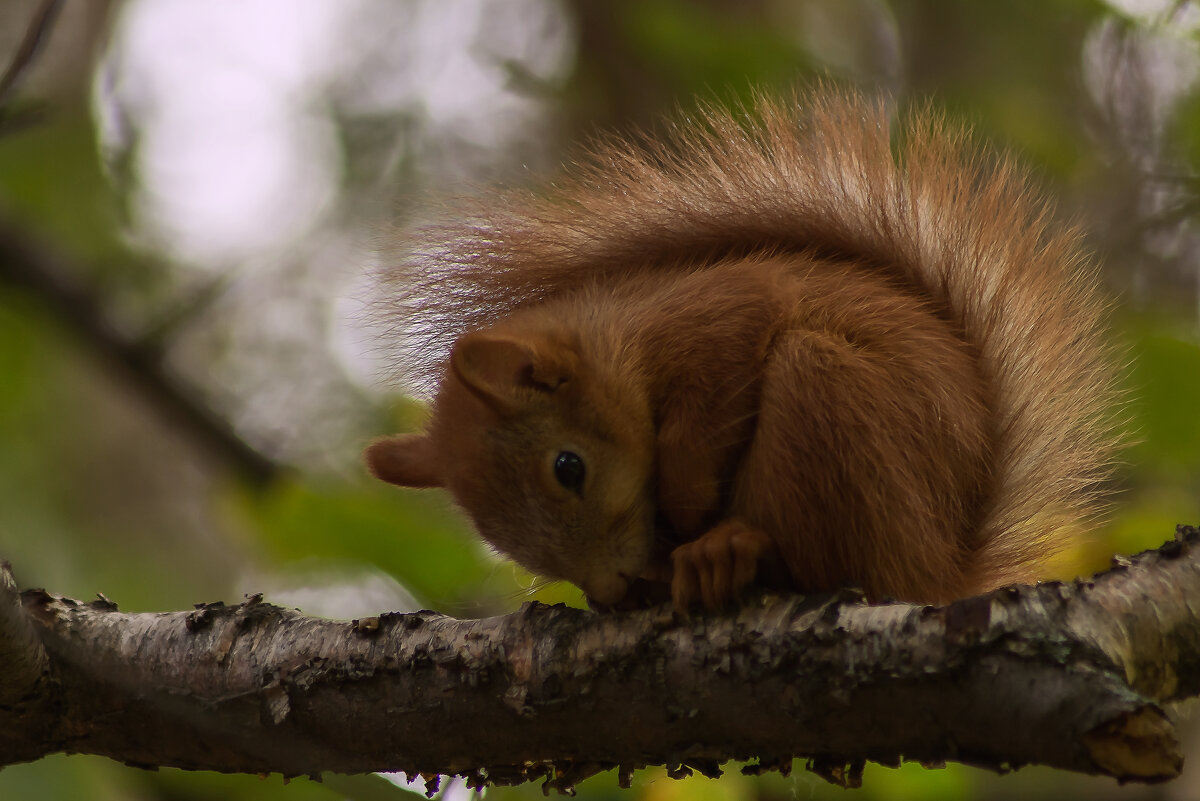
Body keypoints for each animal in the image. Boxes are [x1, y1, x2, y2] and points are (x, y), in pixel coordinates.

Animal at [360, 89, 1118, 613]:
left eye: (568, 467)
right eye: (493, 534)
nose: (609, 589)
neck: (623, 337)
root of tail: (941, 573)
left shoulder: (722, 315)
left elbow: (702, 426)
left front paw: (686, 501)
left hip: (829, 397)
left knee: (839, 563)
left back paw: (731, 549)